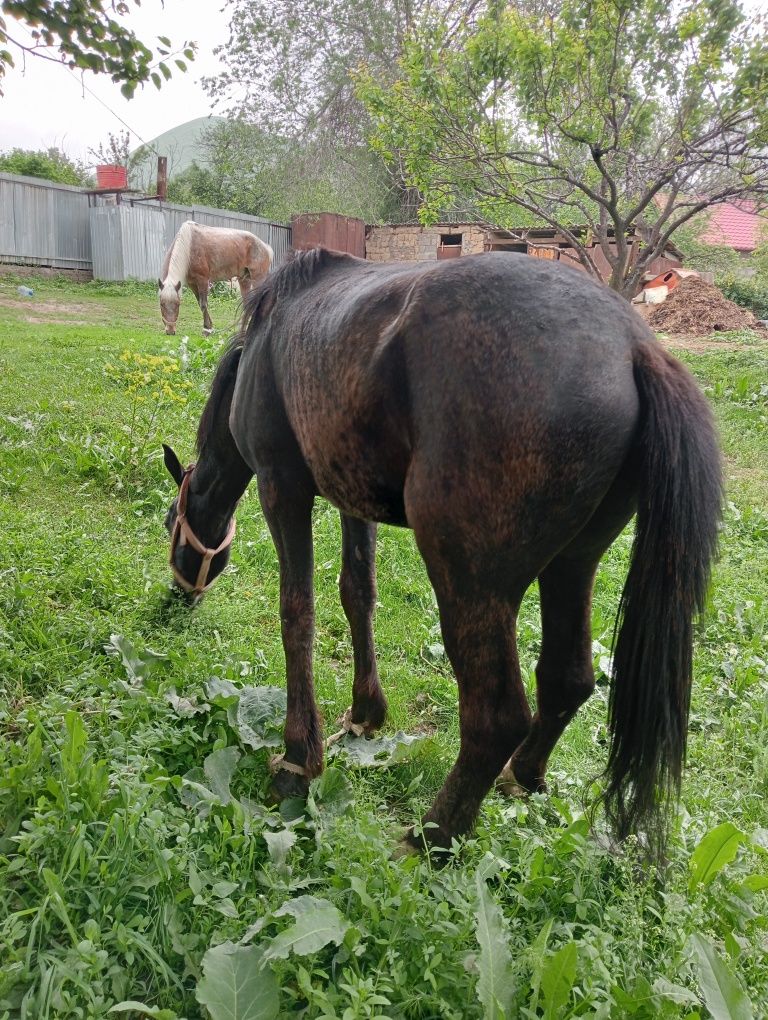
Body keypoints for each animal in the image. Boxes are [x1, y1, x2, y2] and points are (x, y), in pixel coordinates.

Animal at [162, 248, 718, 860]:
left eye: (171, 523)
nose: (176, 598)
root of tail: (634, 345)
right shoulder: (351, 498)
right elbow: (358, 594)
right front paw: (366, 713)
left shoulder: (282, 489)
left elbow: (297, 614)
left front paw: (299, 759)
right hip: (572, 567)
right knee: (567, 678)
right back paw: (522, 776)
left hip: (467, 580)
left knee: (496, 716)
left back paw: (433, 835)